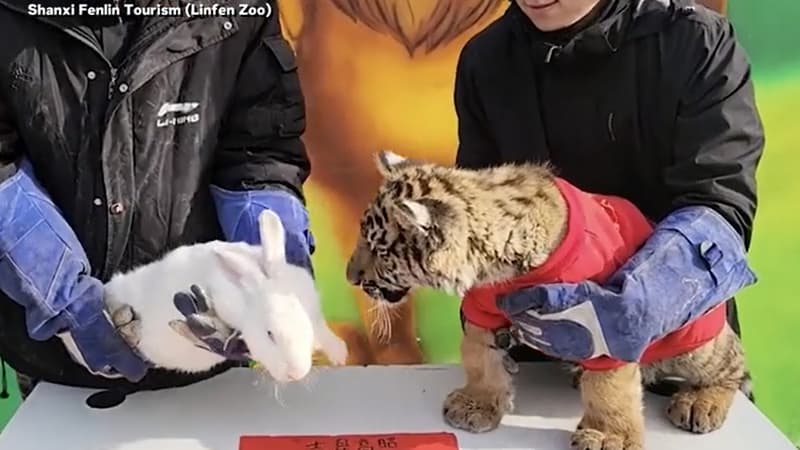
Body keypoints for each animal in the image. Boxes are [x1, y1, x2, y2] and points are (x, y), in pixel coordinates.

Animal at [345, 150, 749, 450]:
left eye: (380, 250)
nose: (351, 277)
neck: (498, 266)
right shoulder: (483, 308)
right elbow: (478, 356)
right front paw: (477, 404)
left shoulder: (604, 320)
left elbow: (609, 388)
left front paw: (608, 437)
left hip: (695, 342)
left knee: (733, 365)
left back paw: (700, 403)